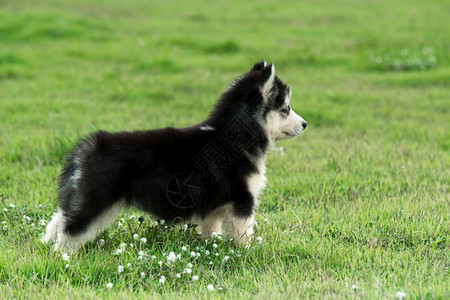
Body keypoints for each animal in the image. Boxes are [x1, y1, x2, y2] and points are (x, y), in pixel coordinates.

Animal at [44, 59, 308, 252]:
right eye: (285, 109)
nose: (305, 124)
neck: (235, 136)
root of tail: (88, 146)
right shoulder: (242, 200)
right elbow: (244, 233)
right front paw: (248, 252)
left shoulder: (213, 205)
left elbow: (210, 229)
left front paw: (211, 248)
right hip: (96, 199)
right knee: (71, 231)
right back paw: (63, 256)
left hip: (80, 195)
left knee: (59, 219)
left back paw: (46, 244)